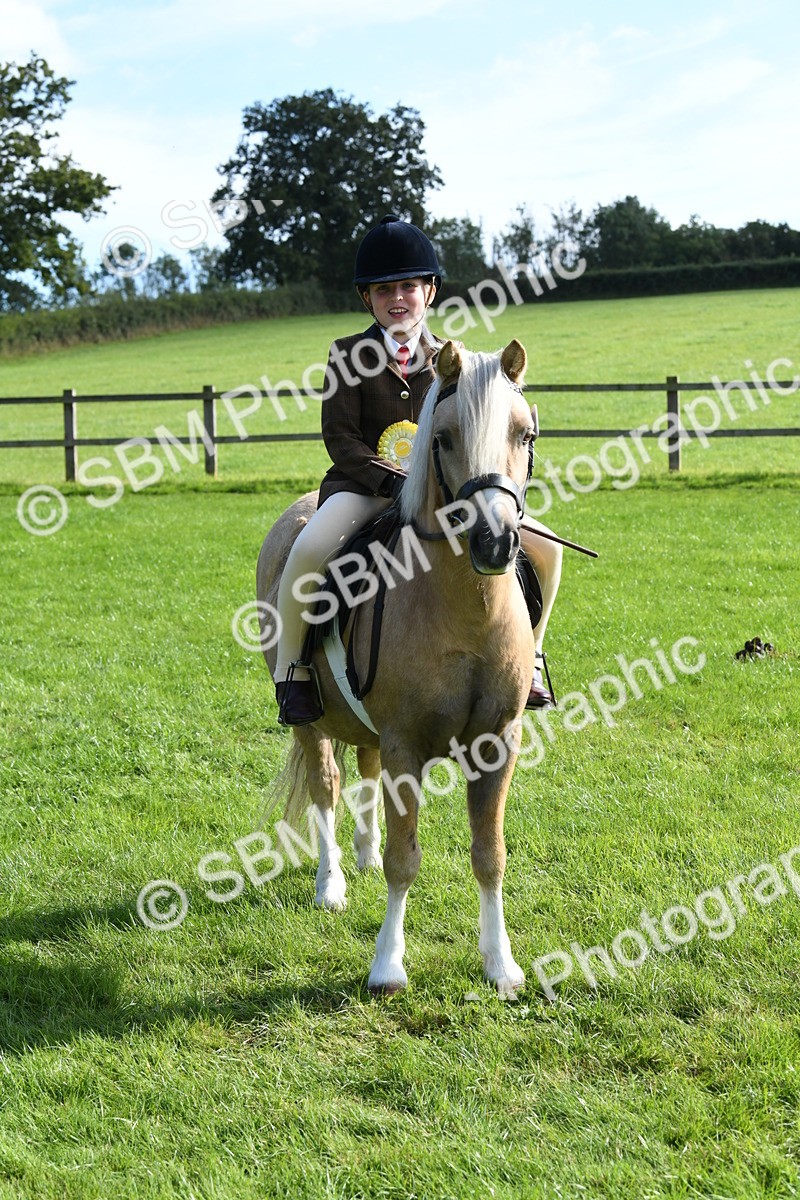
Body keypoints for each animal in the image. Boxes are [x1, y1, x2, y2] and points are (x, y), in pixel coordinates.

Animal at [256, 339, 537, 995]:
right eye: (444, 437)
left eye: (525, 434)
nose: (495, 543)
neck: (465, 607)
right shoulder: (407, 743)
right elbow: (404, 861)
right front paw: (387, 966)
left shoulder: (498, 742)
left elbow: (490, 855)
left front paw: (501, 965)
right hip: (308, 720)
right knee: (327, 786)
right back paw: (331, 883)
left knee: (363, 769)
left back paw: (360, 851)